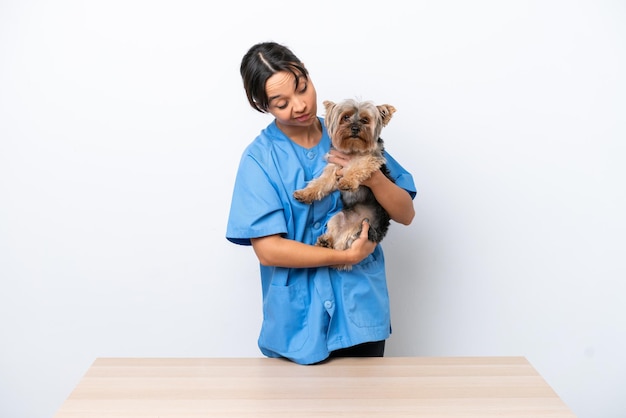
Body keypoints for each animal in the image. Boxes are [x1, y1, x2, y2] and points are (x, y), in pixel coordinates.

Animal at [292, 98, 394, 270]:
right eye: (345, 117)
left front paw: (347, 181)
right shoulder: (333, 168)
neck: (353, 149)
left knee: (343, 249)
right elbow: (321, 183)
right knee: (336, 240)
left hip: (364, 230)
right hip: (337, 218)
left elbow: (357, 167)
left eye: (365, 120)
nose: (355, 128)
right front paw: (304, 194)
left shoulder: (371, 159)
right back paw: (325, 242)